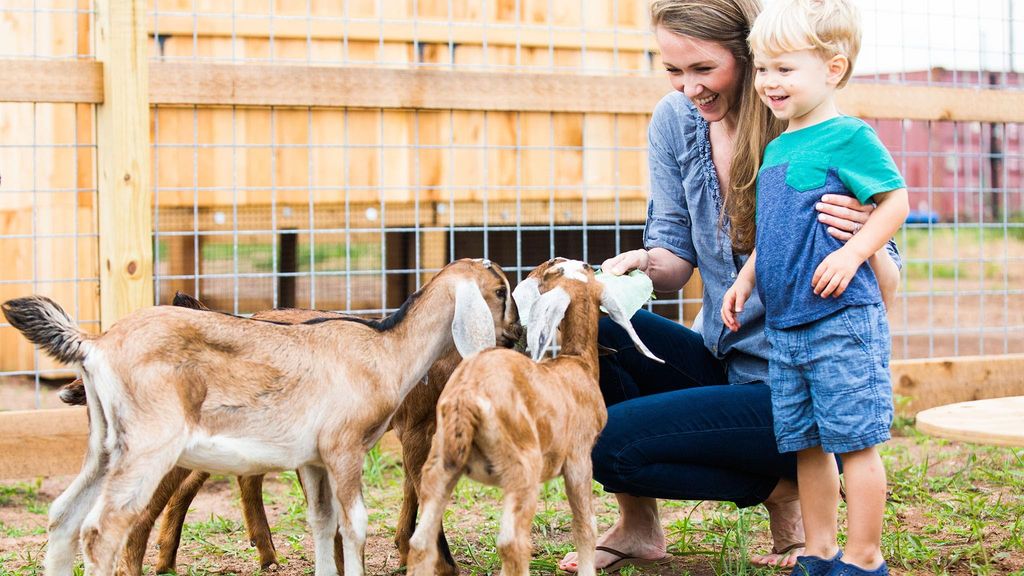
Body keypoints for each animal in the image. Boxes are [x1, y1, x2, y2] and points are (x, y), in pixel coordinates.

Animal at [2, 258, 516, 576]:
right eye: (500, 290)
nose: (514, 335)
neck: (385, 349)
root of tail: (95, 345)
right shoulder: (345, 447)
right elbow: (355, 523)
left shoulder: (314, 459)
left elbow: (322, 522)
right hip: (150, 446)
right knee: (103, 529)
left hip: (106, 445)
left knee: (63, 517)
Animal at [406, 258, 663, 576]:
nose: (587, 263)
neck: (576, 364)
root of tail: (467, 400)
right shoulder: (579, 459)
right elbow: (585, 526)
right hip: (522, 470)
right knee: (511, 542)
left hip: (440, 463)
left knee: (421, 540)